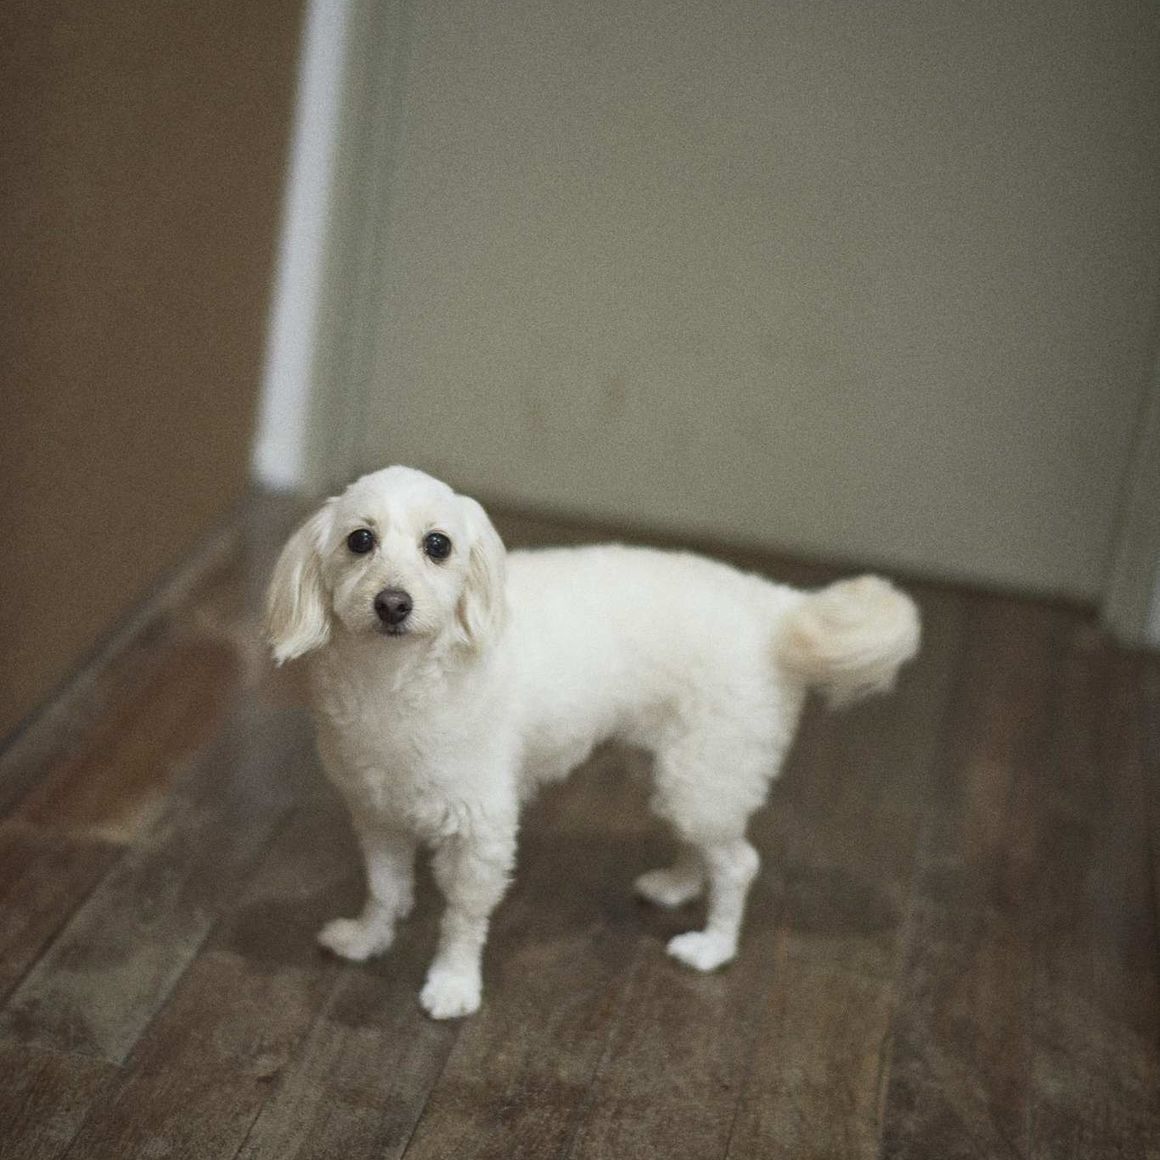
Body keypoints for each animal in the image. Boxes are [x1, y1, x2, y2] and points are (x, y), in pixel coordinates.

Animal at [265, 465, 920, 1018]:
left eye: (438, 545)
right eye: (359, 540)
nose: (392, 604)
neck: (394, 680)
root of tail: (775, 608)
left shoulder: (481, 831)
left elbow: (463, 919)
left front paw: (453, 984)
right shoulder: (377, 812)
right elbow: (384, 891)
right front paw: (366, 939)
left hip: (704, 774)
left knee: (738, 864)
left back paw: (712, 946)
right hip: (677, 772)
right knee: (703, 847)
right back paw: (677, 884)